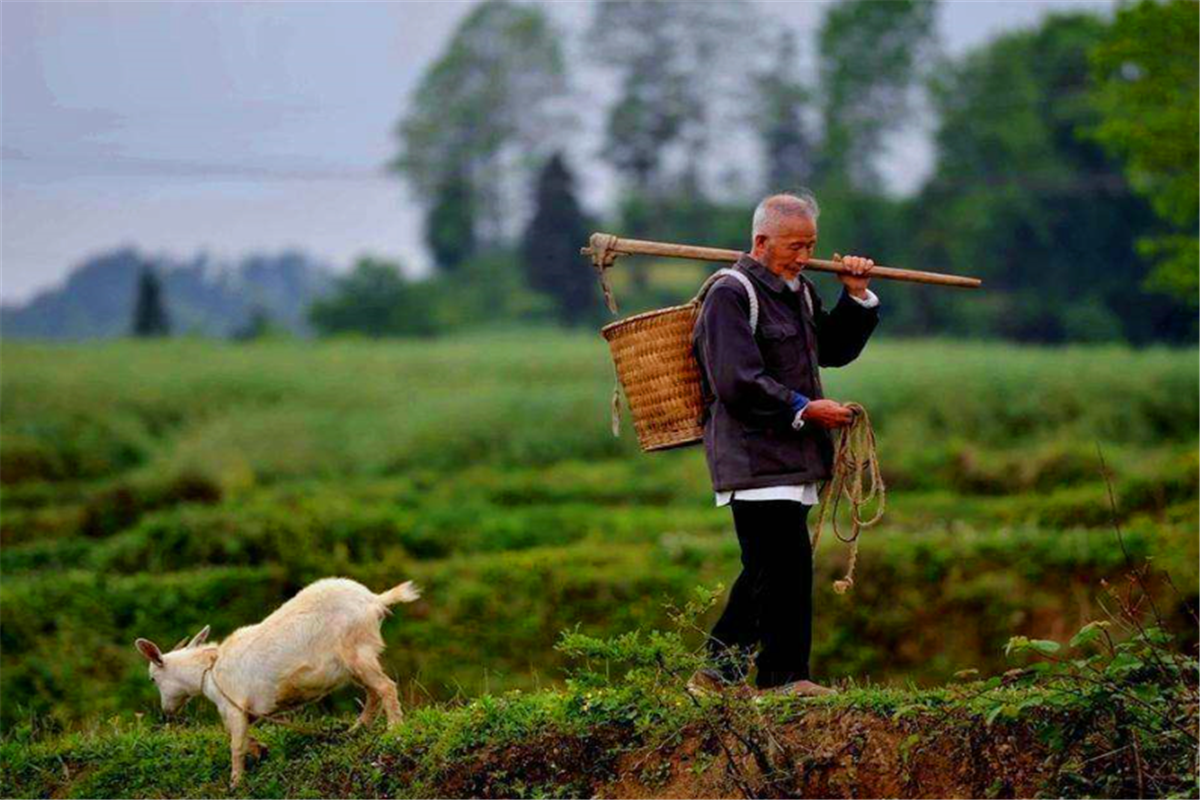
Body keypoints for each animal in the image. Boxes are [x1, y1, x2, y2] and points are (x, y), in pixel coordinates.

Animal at [132, 575, 420, 786]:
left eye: (152, 678)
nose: (167, 712)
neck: (210, 670)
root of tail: (374, 600)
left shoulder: (234, 707)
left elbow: (235, 744)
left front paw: (236, 783)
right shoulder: (246, 711)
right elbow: (239, 736)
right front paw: (260, 750)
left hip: (357, 653)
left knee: (385, 687)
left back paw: (395, 730)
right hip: (356, 662)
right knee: (373, 692)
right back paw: (356, 729)